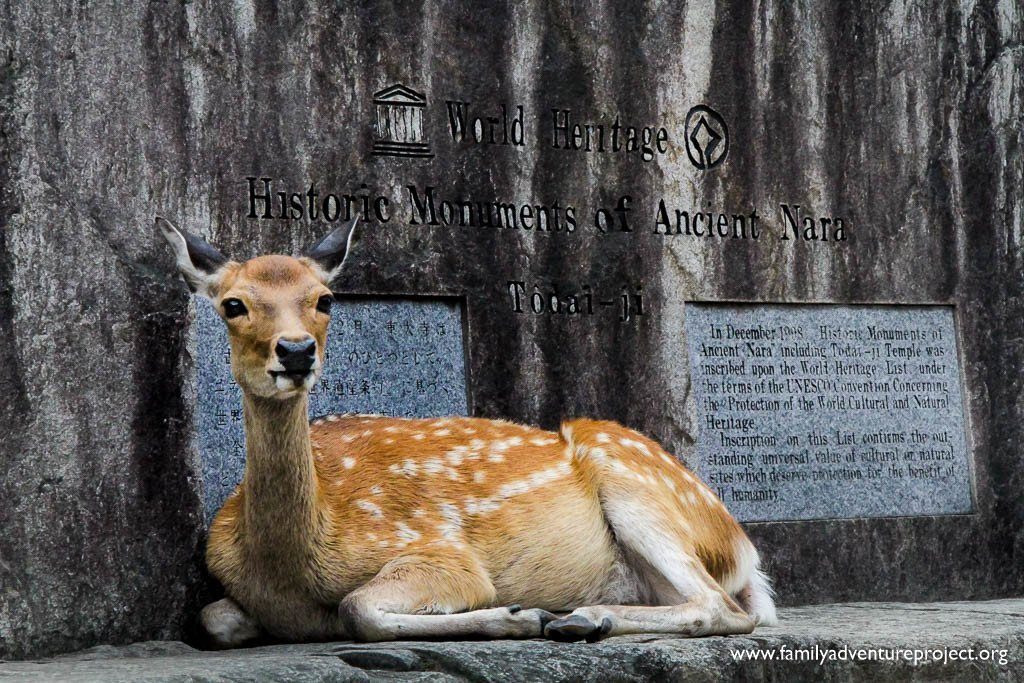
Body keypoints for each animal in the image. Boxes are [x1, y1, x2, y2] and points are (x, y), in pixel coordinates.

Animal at [156, 215, 777, 647]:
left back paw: (579, 617)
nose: (296, 350)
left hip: (636, 480)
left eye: (324, 299)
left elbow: (359, 609)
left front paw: (518, 614)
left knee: (725, 608)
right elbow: (212, 617)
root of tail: (743, 549)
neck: (293, 564)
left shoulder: (442, 551)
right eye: (233, 304)